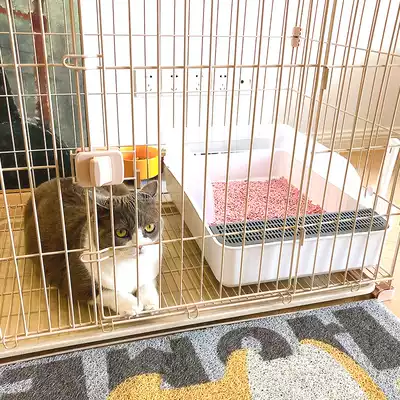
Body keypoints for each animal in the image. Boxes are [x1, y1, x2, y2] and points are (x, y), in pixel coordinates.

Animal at [24, 177, 163, 316]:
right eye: (121, 232)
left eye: (149, 227)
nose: (140, 245)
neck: (129, 264)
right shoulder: (74, 281)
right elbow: (105, 292)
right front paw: (133, 305)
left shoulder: (152, 267)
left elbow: (147, 282)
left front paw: (150, 304)